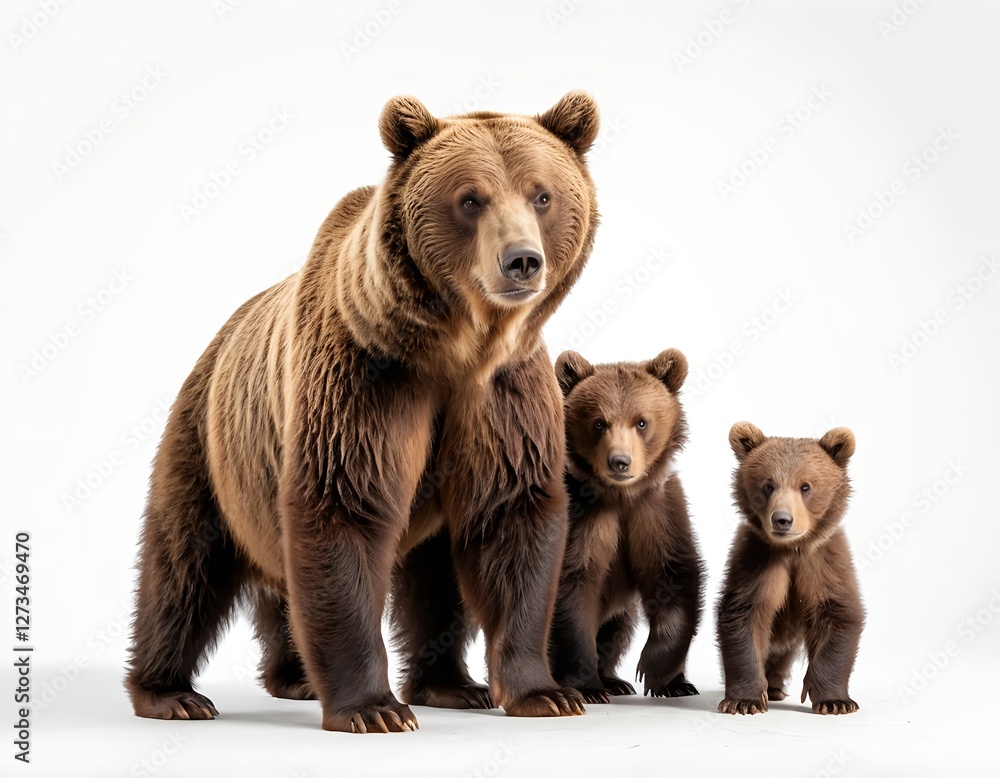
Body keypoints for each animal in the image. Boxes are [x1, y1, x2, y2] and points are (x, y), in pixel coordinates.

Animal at [125, 91, 602, 732]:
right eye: (470, 198)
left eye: (542, 194)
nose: (521, 260)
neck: (455, 348)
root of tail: (220, 336)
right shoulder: (365, 379)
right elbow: (342, 506)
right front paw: (374, 709)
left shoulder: (500, 398)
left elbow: (511, 516)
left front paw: (545, 693)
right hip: (210, 441)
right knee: (182, 564)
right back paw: (171, 692)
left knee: (429, 576)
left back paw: (430, 684)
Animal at [548, 349, 704, 703]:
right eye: (599, 422)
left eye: (641, 421)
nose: (620, 461)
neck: (620, 496)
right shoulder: (583, 519)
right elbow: (573, 585)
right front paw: (588, 688)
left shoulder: (656, 512)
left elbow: (674, 576)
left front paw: (665, 677)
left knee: (618, 628)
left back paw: (615, 680)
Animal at [716, 422, 864, 715]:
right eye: (768, 485)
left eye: (805, 486)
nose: (782, 519)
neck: (792, 548)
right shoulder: (758, 561)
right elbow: (744, 615)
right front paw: (743, 700)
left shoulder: (823, 562)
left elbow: (838, 615)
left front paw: (835, 701)